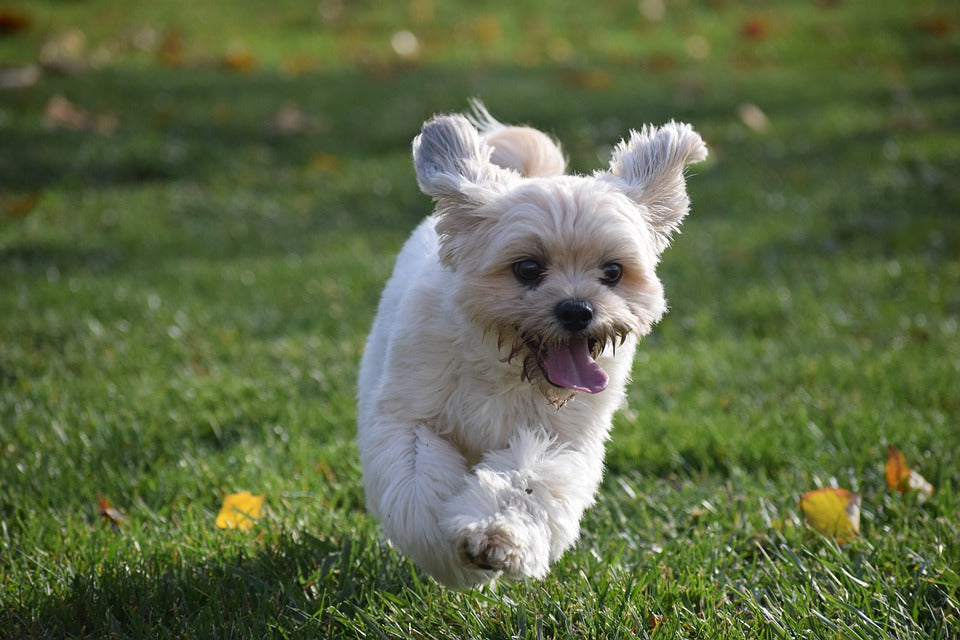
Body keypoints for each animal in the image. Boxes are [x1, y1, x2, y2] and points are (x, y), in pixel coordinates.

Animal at [356, 102, 708, 588]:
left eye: (613, 272)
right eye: (527, 268)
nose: (577, 309)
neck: (504, 368)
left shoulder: (559, 439)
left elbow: (528, 481)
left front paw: (495, 534)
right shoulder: (408, 417)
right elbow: (418, 482)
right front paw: (446, 553)